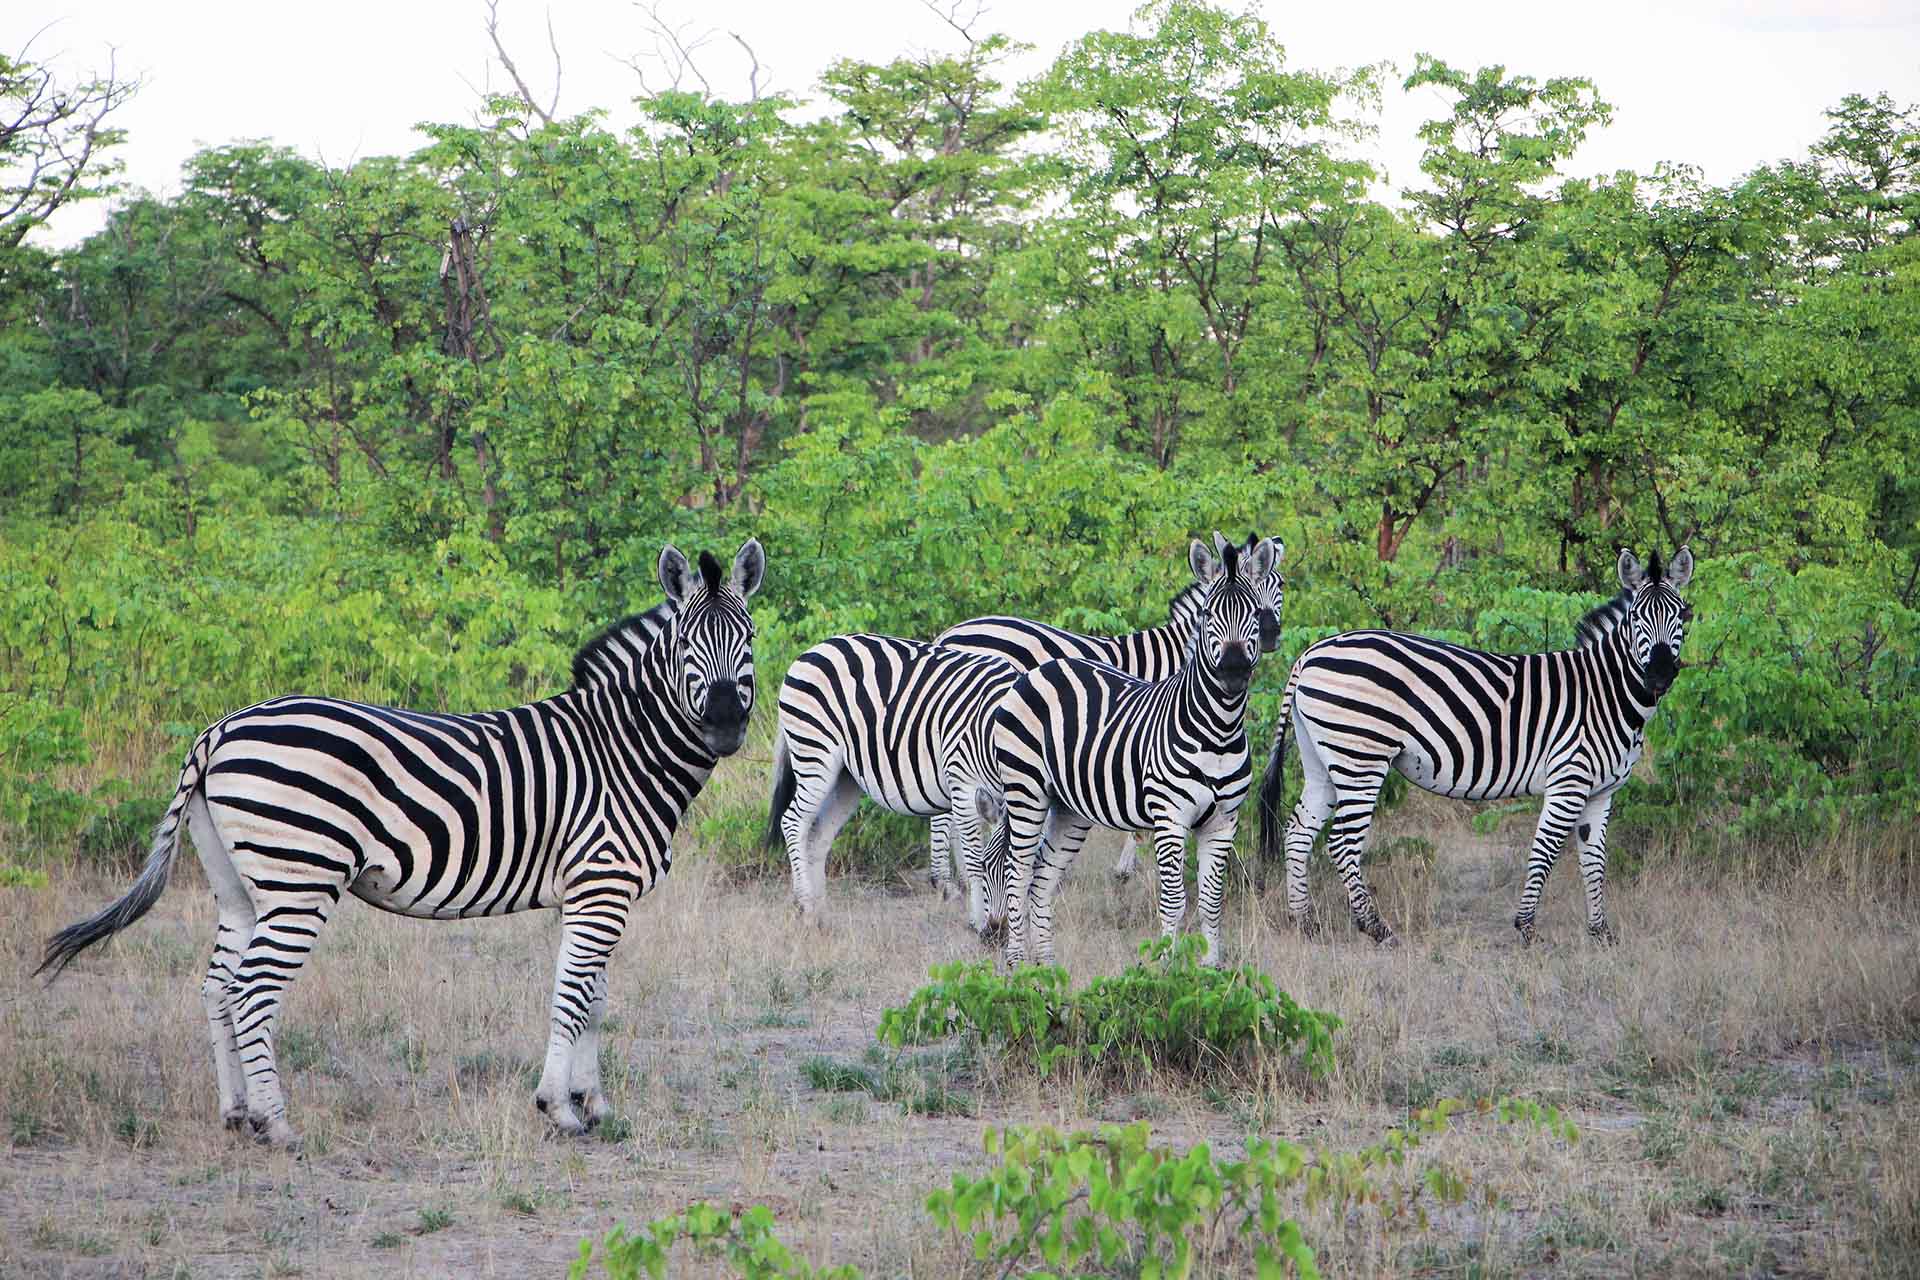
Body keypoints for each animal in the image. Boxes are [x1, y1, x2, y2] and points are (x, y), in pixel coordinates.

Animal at [35, 537, 764, 1143]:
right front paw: (558, 1109)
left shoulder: (595, 893)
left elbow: (595, 999)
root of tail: (217, 732)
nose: (727, 725)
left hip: (243, 888)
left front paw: (594, 1104)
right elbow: (572, 995)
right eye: (687, 643)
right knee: (251, 991)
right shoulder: (601, 884)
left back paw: (236, 1113)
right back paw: (277, 1123)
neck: (625, 749)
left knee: (217, 987)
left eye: (749, 637)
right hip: (300, 880)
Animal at [771, 637, 1029, 936]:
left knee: (818, 835)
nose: (997, 932)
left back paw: (822, 916)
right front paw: (977, 921)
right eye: (990, 867)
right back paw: (807, 910)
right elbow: (973, 859)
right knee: (793, 822)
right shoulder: (963, 783)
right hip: (815, 754)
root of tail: (811, 651)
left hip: (846, 777)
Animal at [936, 529, 1282, 882]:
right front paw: (1127, 866)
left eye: (1279, 586)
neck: (1178, 651)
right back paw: (953, 878)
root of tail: (948, 634)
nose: (1271, 634)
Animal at [990, 537, 1274, 967]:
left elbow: (1211, 902)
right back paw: (1017, 968)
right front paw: (1166, 969)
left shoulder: (1224, 822)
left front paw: (1213, 970)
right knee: (1017, 875)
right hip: (1026, 791)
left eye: (1254, 612)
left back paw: (1047, 970)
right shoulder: (1170, 817)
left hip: (1068, 808)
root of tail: (1041, 670)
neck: (1219, 731)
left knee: (1041, 882)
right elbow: (1174, 901)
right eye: (1207, 613)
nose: (1234, 670)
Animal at [1259, 545, 1697, 948]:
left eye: (1681, 617)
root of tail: (1310, 653)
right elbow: (1545, 852)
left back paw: (1305, 923)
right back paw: (1376, 928)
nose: (1660, 676)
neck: (1605, 693)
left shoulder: (1602, 791)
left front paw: (1600, 933)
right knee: (1341, 842)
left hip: (1322, 759)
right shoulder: (1568, 781)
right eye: (1636, 618)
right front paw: (1526, 928)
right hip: (1360, 757)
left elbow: (1594, 860)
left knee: (1298, 831)